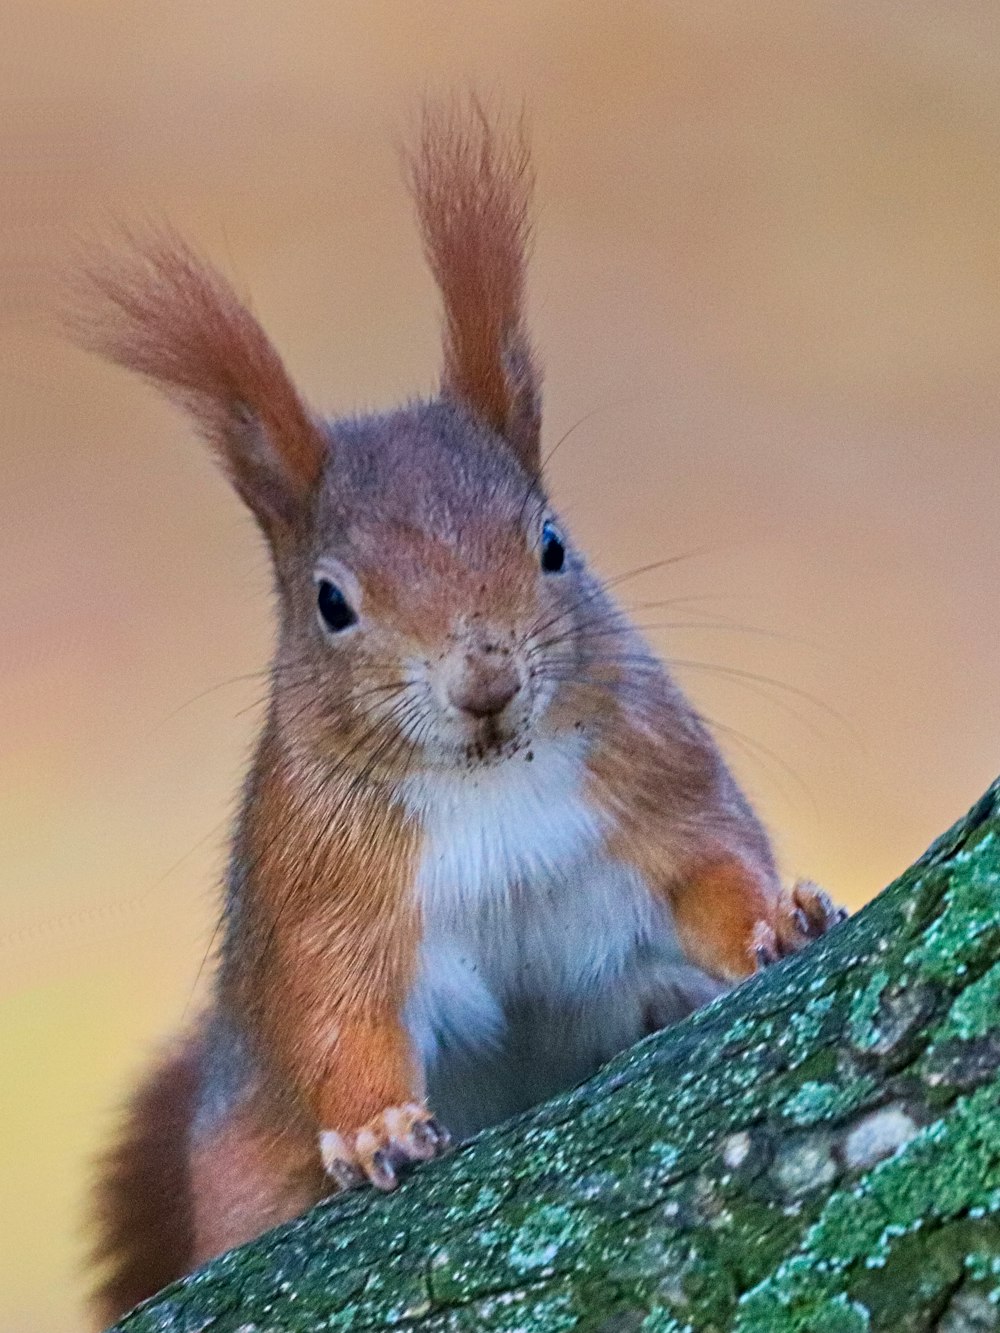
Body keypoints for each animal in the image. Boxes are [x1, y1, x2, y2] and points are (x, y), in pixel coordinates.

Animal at [80, 101, 848, 1322]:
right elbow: (337, 1015)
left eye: (551, 544)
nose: (484, 681)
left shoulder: (654, 780)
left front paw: (777, 917)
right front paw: (376, 1129)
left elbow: (711, 866)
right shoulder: (323, 889)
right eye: (330, 602)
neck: (490, 778)